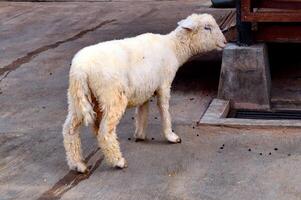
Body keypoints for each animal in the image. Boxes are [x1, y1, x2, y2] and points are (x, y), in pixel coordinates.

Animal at [62, 13, 225, 173]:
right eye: (207, 27)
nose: (224, 41)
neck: (173, 48)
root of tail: (80, 70)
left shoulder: (144, 89)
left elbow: (142, 112)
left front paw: (140, 134)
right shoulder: (164, 84)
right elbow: (164, 110)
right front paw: (171, 136)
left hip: (77, 97)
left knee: (69, 129)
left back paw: (77, 164)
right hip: (112, 96)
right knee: (105, 132)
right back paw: (118, 161)